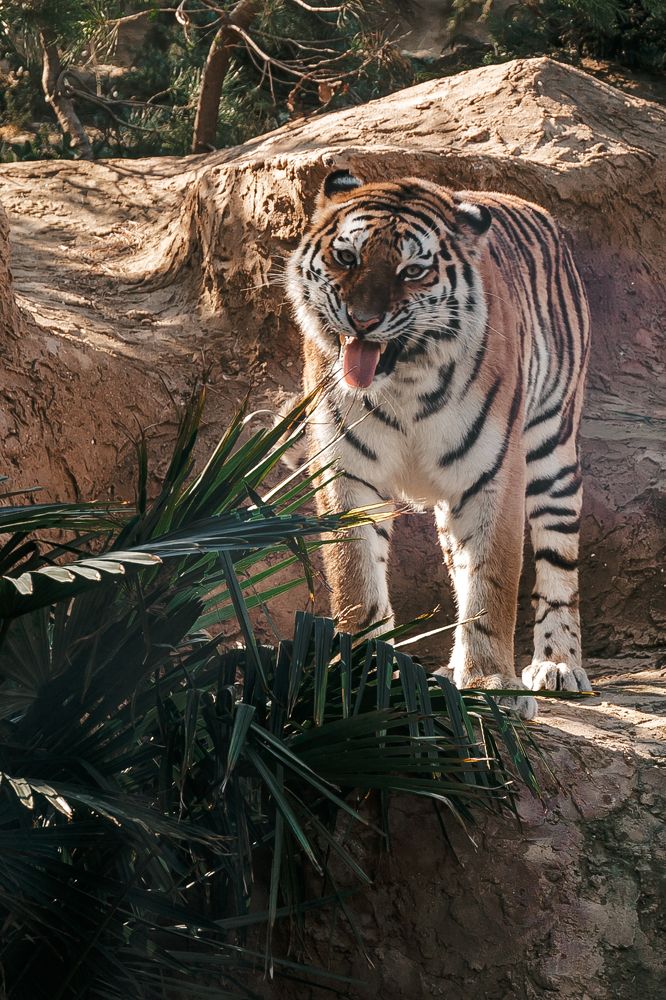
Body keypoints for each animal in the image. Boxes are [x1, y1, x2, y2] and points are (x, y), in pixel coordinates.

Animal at [285, 169, 592, 718]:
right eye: (348, 258)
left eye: (412, 272)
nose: (361, 320)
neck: (403, 381)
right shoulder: (347, 470)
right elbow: (356, 576)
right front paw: (361, 674)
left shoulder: (494, 473)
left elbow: (492, 581)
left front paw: (492, 681)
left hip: (552, 449)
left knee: (557, 563)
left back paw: (558, 666)